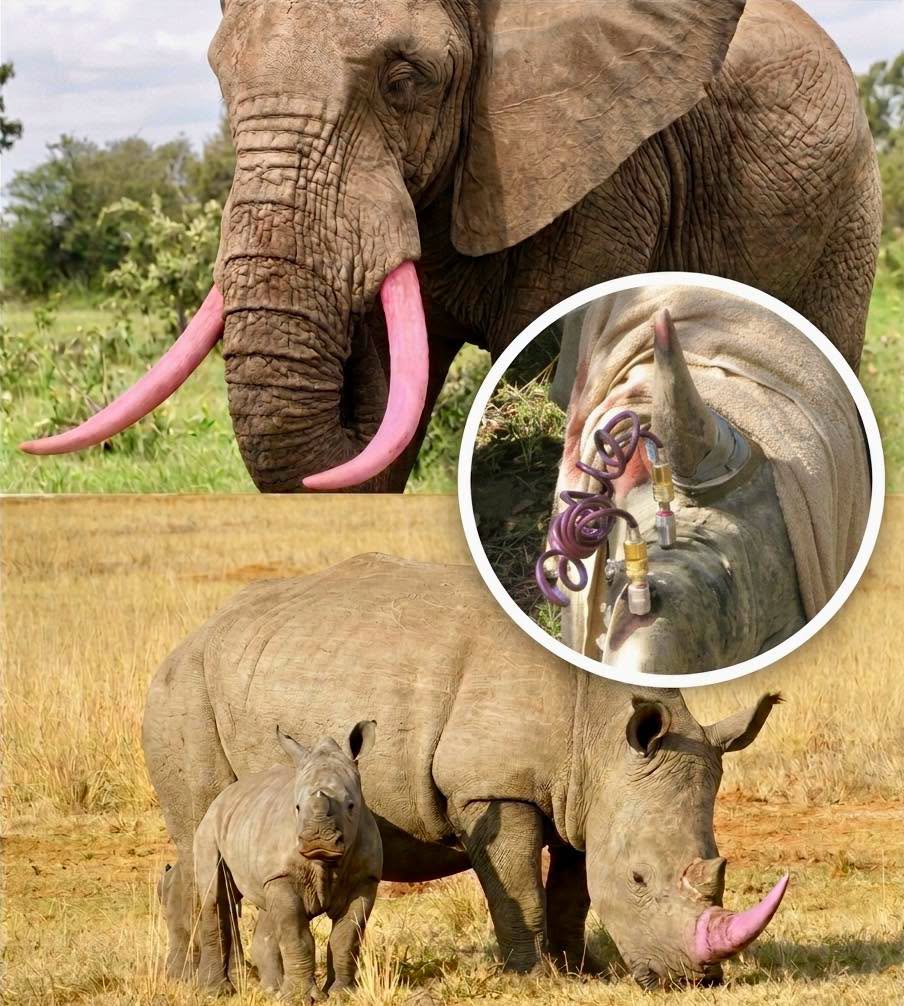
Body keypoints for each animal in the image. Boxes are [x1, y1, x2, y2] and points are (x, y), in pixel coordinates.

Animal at [143, 553, 789, 989]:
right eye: (639, 879)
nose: (693, 981)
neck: (602, 733)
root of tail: (189, 639)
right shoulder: (493, 790)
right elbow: (519, 886)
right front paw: (535, 979)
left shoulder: (585, 795)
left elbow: (573, 888)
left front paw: (581, 972)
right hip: (185, 690)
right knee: (201, 833)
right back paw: (205, 985)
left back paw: (190, 979)